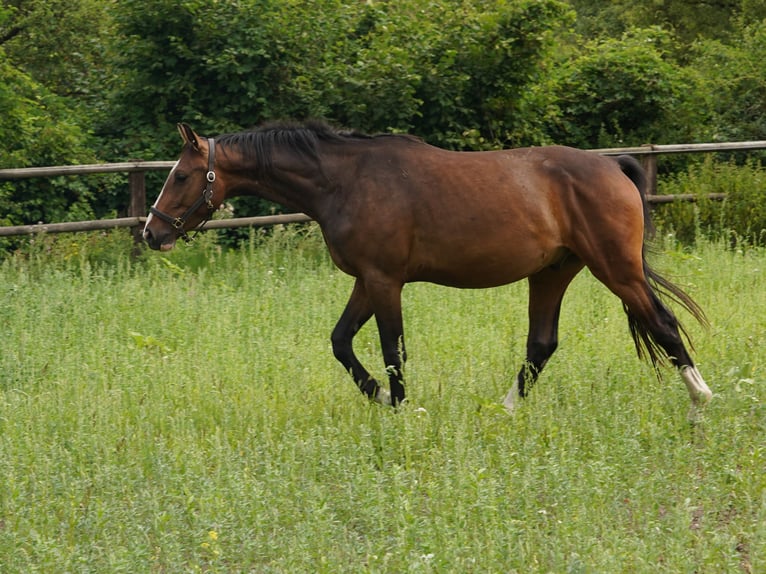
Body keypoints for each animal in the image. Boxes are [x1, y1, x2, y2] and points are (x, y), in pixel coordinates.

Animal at [144, 121, 712, 412]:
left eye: (181, 176)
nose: (153, 232)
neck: (344, 181)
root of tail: (612, 166)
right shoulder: (366, 281)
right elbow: (341, 342)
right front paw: (379, 398)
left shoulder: (384, 281)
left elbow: (392, 350)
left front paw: (400, 406)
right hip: (552, 272)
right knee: (541, 344)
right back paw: (502, 411)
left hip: (615, 268)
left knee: (663, 324)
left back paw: (700, 400)